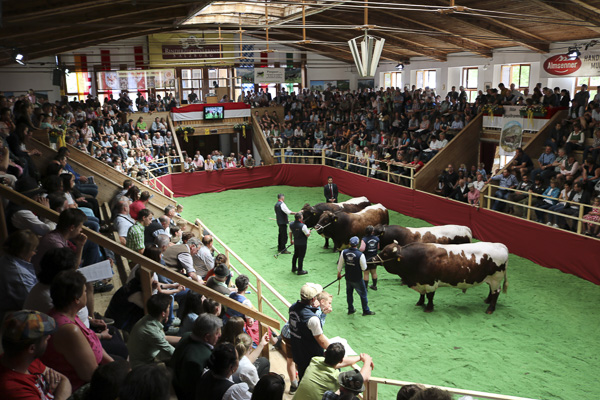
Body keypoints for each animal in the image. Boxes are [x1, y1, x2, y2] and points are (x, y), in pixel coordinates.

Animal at [378, 241, 508, 312]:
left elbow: (430, 296)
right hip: (491, 279)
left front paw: (428, 308)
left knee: (496, 292)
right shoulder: (421, 282)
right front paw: (420, 303)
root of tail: (501, 246)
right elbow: (422, 294)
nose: (374, 258)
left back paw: (490, 308)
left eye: (385, 253)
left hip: (496, 278)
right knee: (491, 291)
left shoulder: (430, 283)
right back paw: (487, 300)